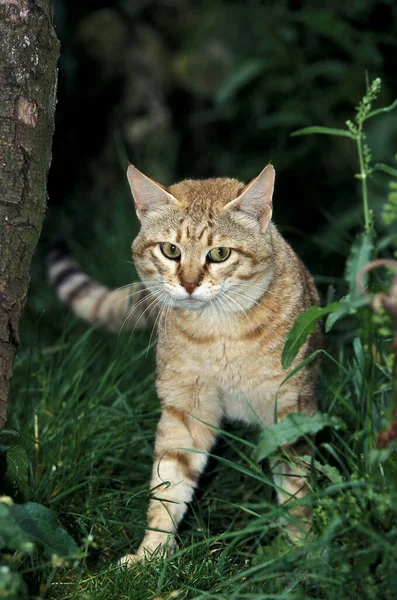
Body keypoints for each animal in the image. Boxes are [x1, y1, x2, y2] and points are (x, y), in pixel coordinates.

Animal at [48, 163, 322, 564]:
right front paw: (151, 553)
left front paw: (300, 547)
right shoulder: (186, 409)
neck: (219, 334)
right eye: (170, 250)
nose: (189, 284)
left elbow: (295, 487)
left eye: (220, 253)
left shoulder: (291, 409)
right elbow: (169, 483)